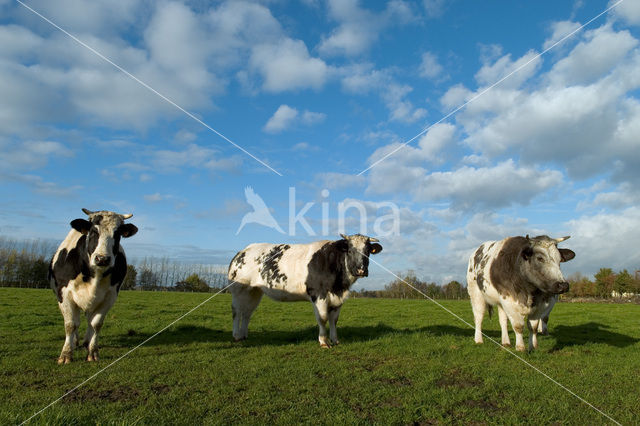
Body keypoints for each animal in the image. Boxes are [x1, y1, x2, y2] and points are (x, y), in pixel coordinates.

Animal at [50, 208, 139, 362]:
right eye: (93, 231)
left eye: (118, 234)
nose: (102, 259)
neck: (94, 275)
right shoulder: (64, 294)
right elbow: (70, 324)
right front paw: (66, 354)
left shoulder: (109, 296)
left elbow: (96, 324)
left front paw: (93, 352)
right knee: (76, 321)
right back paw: (75, 342)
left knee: (88, 319)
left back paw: (86, 342)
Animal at [228, 235, 382, 348]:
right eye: (350, 250)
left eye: (368, 251)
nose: (361, 270)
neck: (340, 285)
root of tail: (244, 250)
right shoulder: (318, 294)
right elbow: (323, 318)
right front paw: (324, 342)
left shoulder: (338, 298)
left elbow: (334, 320)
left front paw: (335, 340)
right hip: (238, 289)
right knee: (237, 311)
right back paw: (236, 335)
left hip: (254, 291)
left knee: (247, 312)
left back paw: (244, 335)